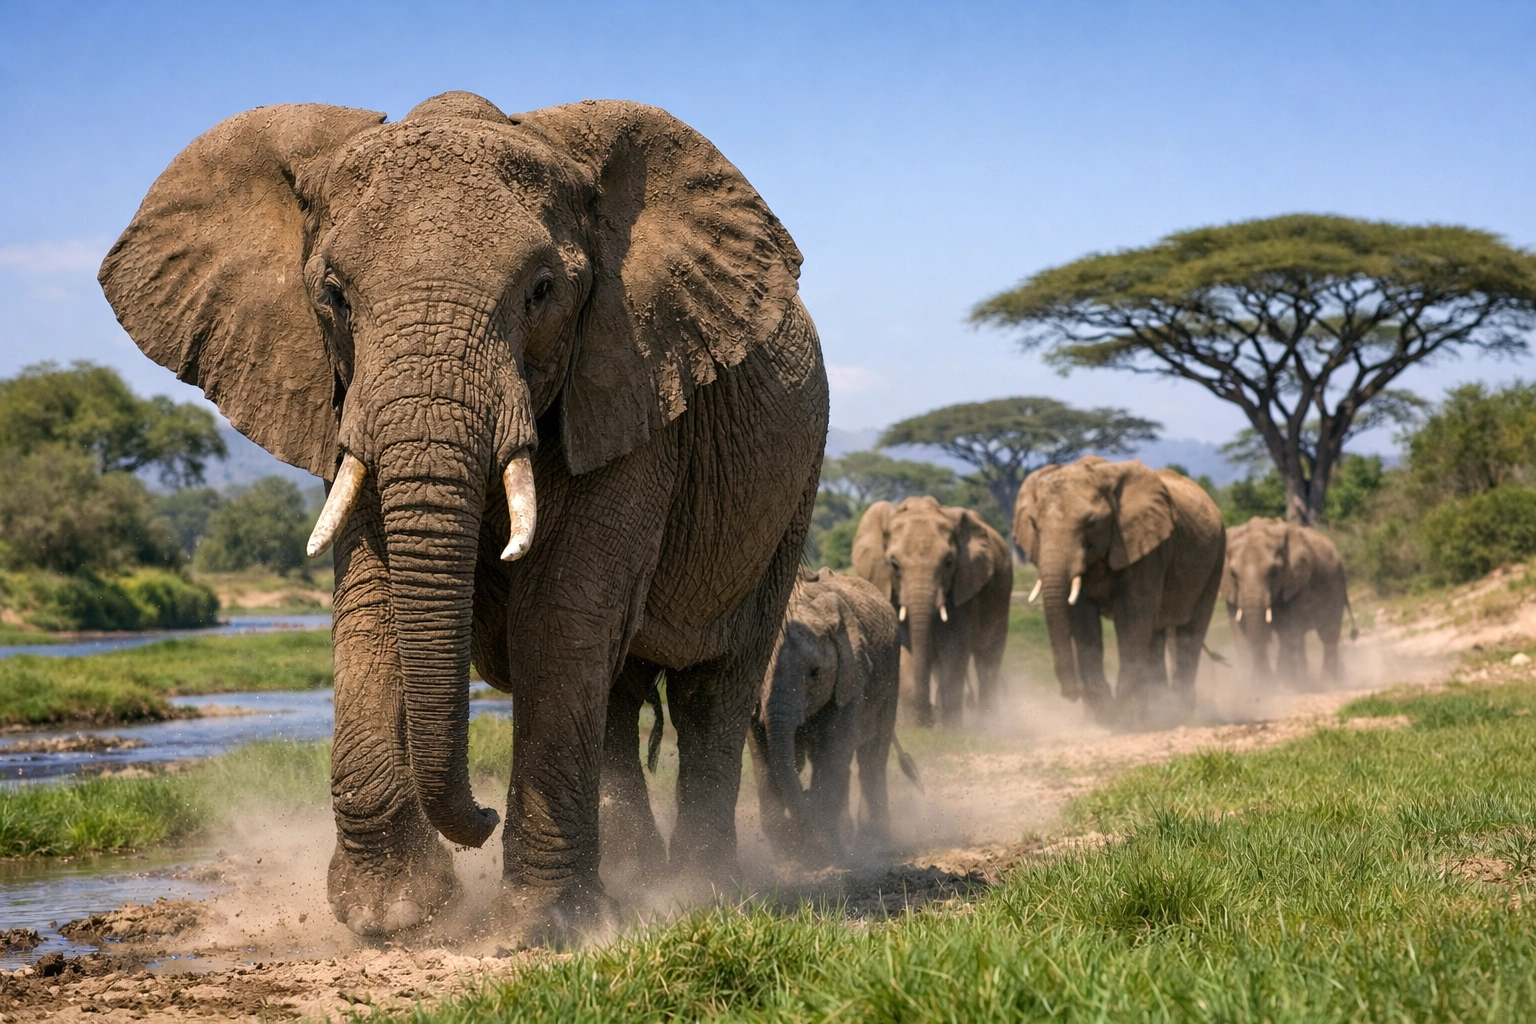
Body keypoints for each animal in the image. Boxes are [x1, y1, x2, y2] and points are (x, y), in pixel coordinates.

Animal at [99, 92, 828, 945]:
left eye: (542, 290)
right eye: (333, 295)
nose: (479, 817)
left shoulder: (635, 379)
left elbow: (562, 615)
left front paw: (540, 929)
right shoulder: (344, 396)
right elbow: (374, 601)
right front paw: (393, 913)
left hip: (793, 494)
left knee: (717, 684)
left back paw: (697, 890)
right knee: (618, 694)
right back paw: (638, 875)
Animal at [747, 567, 919, 863]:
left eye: (815, 673)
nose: (804, 796)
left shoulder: (852, 674)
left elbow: (834, 749)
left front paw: (820, 850)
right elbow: (763, 757)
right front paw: (792, 859)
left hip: (890, 675)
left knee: (872, 754)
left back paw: (872, 843)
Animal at [851, 497, 1012, 727]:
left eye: (949, 563)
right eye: (894, 564)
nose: (928, 714)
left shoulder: (963, 586)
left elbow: (954, 647)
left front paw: (951, 728)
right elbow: (905, 647)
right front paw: (917, 726)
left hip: (1002, 595)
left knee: (988, 657)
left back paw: (987, 721)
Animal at [1013, 458, 1225, 720]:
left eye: (1090, 523)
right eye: (1034, 524)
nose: (1071, 694)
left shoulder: (1145, 548)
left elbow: (1132, 618)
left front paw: (1124, 713)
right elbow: (1083, 621)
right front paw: (1103, 715)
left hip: (1216, 556)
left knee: (1191, 629)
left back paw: (1176, 710)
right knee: (1156, 632)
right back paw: (1157, 706)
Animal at [1221, 517, 1357, 686]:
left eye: (1273, 571)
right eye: (1233, 574)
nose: (1266, 677)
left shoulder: (1296, 580)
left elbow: (1289, 629)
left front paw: (1284, 684)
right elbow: (1241, 630)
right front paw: (1259, 685)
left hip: (1337, 584)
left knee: (1328, 634)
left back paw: (1328, 681)